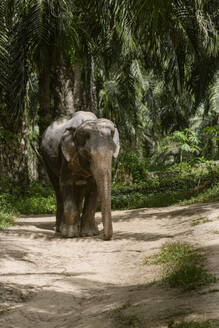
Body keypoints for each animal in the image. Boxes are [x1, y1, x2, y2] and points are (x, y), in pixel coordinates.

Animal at [41, 111, 120, 240]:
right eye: (87, 154)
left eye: (112, 153)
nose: (105, 237)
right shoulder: (66, 157)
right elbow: (65, 184)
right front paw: (69, 234)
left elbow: (94, 189)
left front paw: (89, 234)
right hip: (46, 158)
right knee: (58, 189)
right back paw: (59, 228)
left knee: (79, 190)